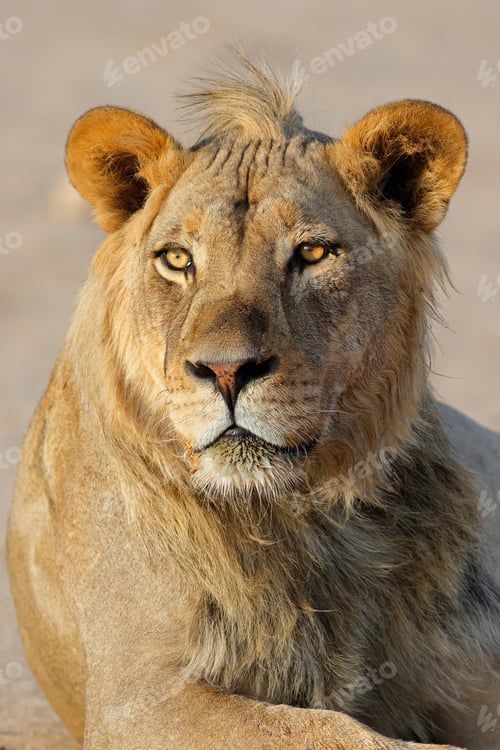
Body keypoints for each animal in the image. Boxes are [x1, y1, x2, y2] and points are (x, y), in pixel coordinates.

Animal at [7, 55, 500, 749]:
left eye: (312, 253)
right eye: (177, 259)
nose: (226, 370)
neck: (313, 520)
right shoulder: (136, 701)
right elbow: (334, 731)